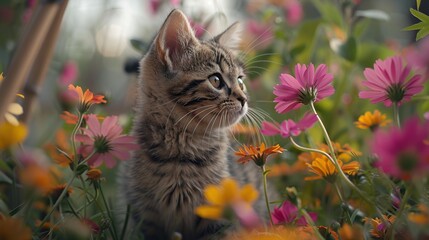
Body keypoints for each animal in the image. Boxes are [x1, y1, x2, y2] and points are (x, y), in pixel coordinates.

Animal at [118, 9, 262, 240]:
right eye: (216, 80)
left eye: (241, 81)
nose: (244, 99)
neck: (182, 154)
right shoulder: (144, 218)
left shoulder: (220, 218)